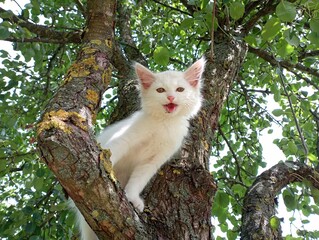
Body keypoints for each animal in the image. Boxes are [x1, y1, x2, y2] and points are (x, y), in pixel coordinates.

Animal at [74, 58, 206, 240]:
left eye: (180, 89)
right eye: (160, 90)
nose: (171, 97)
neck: (164, 124)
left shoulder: (152, 162)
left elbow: (138, 180)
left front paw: (132, 198)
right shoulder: (125, 138)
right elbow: (111, 152)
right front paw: (100, 164)